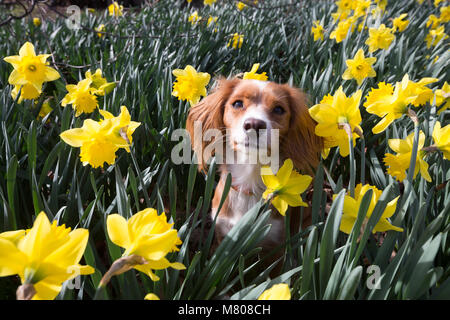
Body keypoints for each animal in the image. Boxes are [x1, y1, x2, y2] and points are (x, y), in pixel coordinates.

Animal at [186, 78, 324, 268]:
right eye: (237, 103)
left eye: (279, 109)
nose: (254, 124)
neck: (250, 181)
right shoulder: (223, 234)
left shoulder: (274, 247)